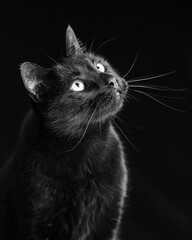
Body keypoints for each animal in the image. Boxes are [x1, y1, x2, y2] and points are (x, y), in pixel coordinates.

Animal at [0, 25, 129, 239]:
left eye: (99, 66)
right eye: (77, 85)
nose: (110, 81)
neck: (84, 146)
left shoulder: (108, 219)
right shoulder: (38, 219)